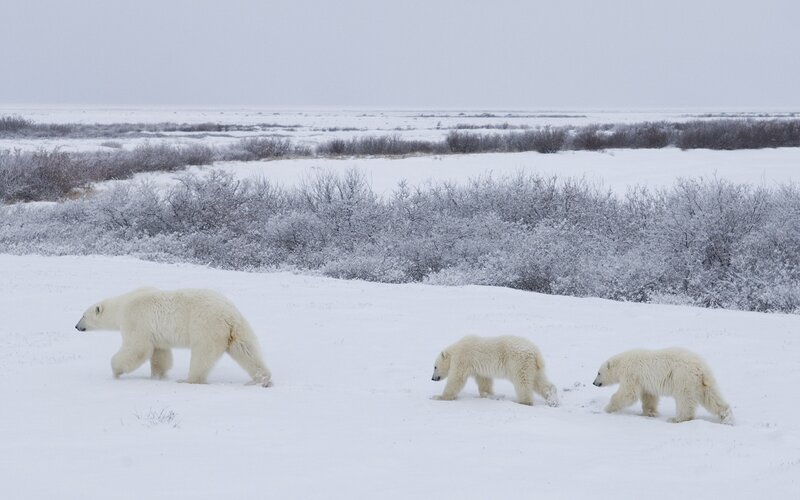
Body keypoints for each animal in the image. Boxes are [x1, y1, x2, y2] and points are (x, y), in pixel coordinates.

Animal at [75, 287, 272, 387]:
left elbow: (138, 348)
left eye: (83, 315)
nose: (76, 326)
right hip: (237, 328)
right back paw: (261, 379)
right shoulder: (156, 333)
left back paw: (188, 379)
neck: (122, 305)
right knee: (246, 350)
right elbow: (160, 354)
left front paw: (116, 371)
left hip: (205, 325)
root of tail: (229, 314)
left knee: (202, 354)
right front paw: (157, 376)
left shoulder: (136, 319)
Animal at [593, 347, 733, 424]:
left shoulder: (632, 374)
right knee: (712, 397)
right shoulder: (645, 382)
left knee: (685, 399)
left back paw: (676, 419)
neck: (623, 362)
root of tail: (701, 368)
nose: (594, 383)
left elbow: (628, 394)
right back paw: (726, 417)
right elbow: (649, 397)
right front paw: (650, 412)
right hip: (701, 383)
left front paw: (607, 408)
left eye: (598, 373)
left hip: (683, 378)